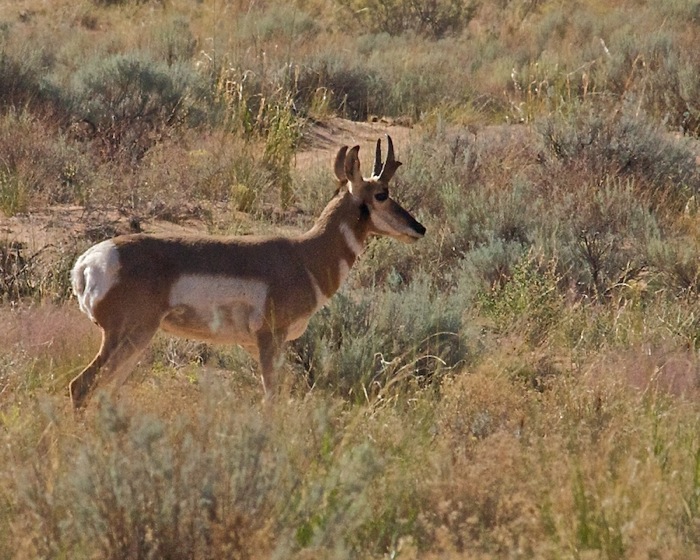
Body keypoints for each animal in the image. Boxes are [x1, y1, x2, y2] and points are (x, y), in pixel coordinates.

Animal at [69, 135, 426, 406]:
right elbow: (271, 398)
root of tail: (87, 263)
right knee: (81, 385)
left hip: (138, 341)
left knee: (105, 392)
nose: (419, 228)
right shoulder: (270, 339)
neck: (304, 255)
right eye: (382, 194)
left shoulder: (259, 345)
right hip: (129, 336)